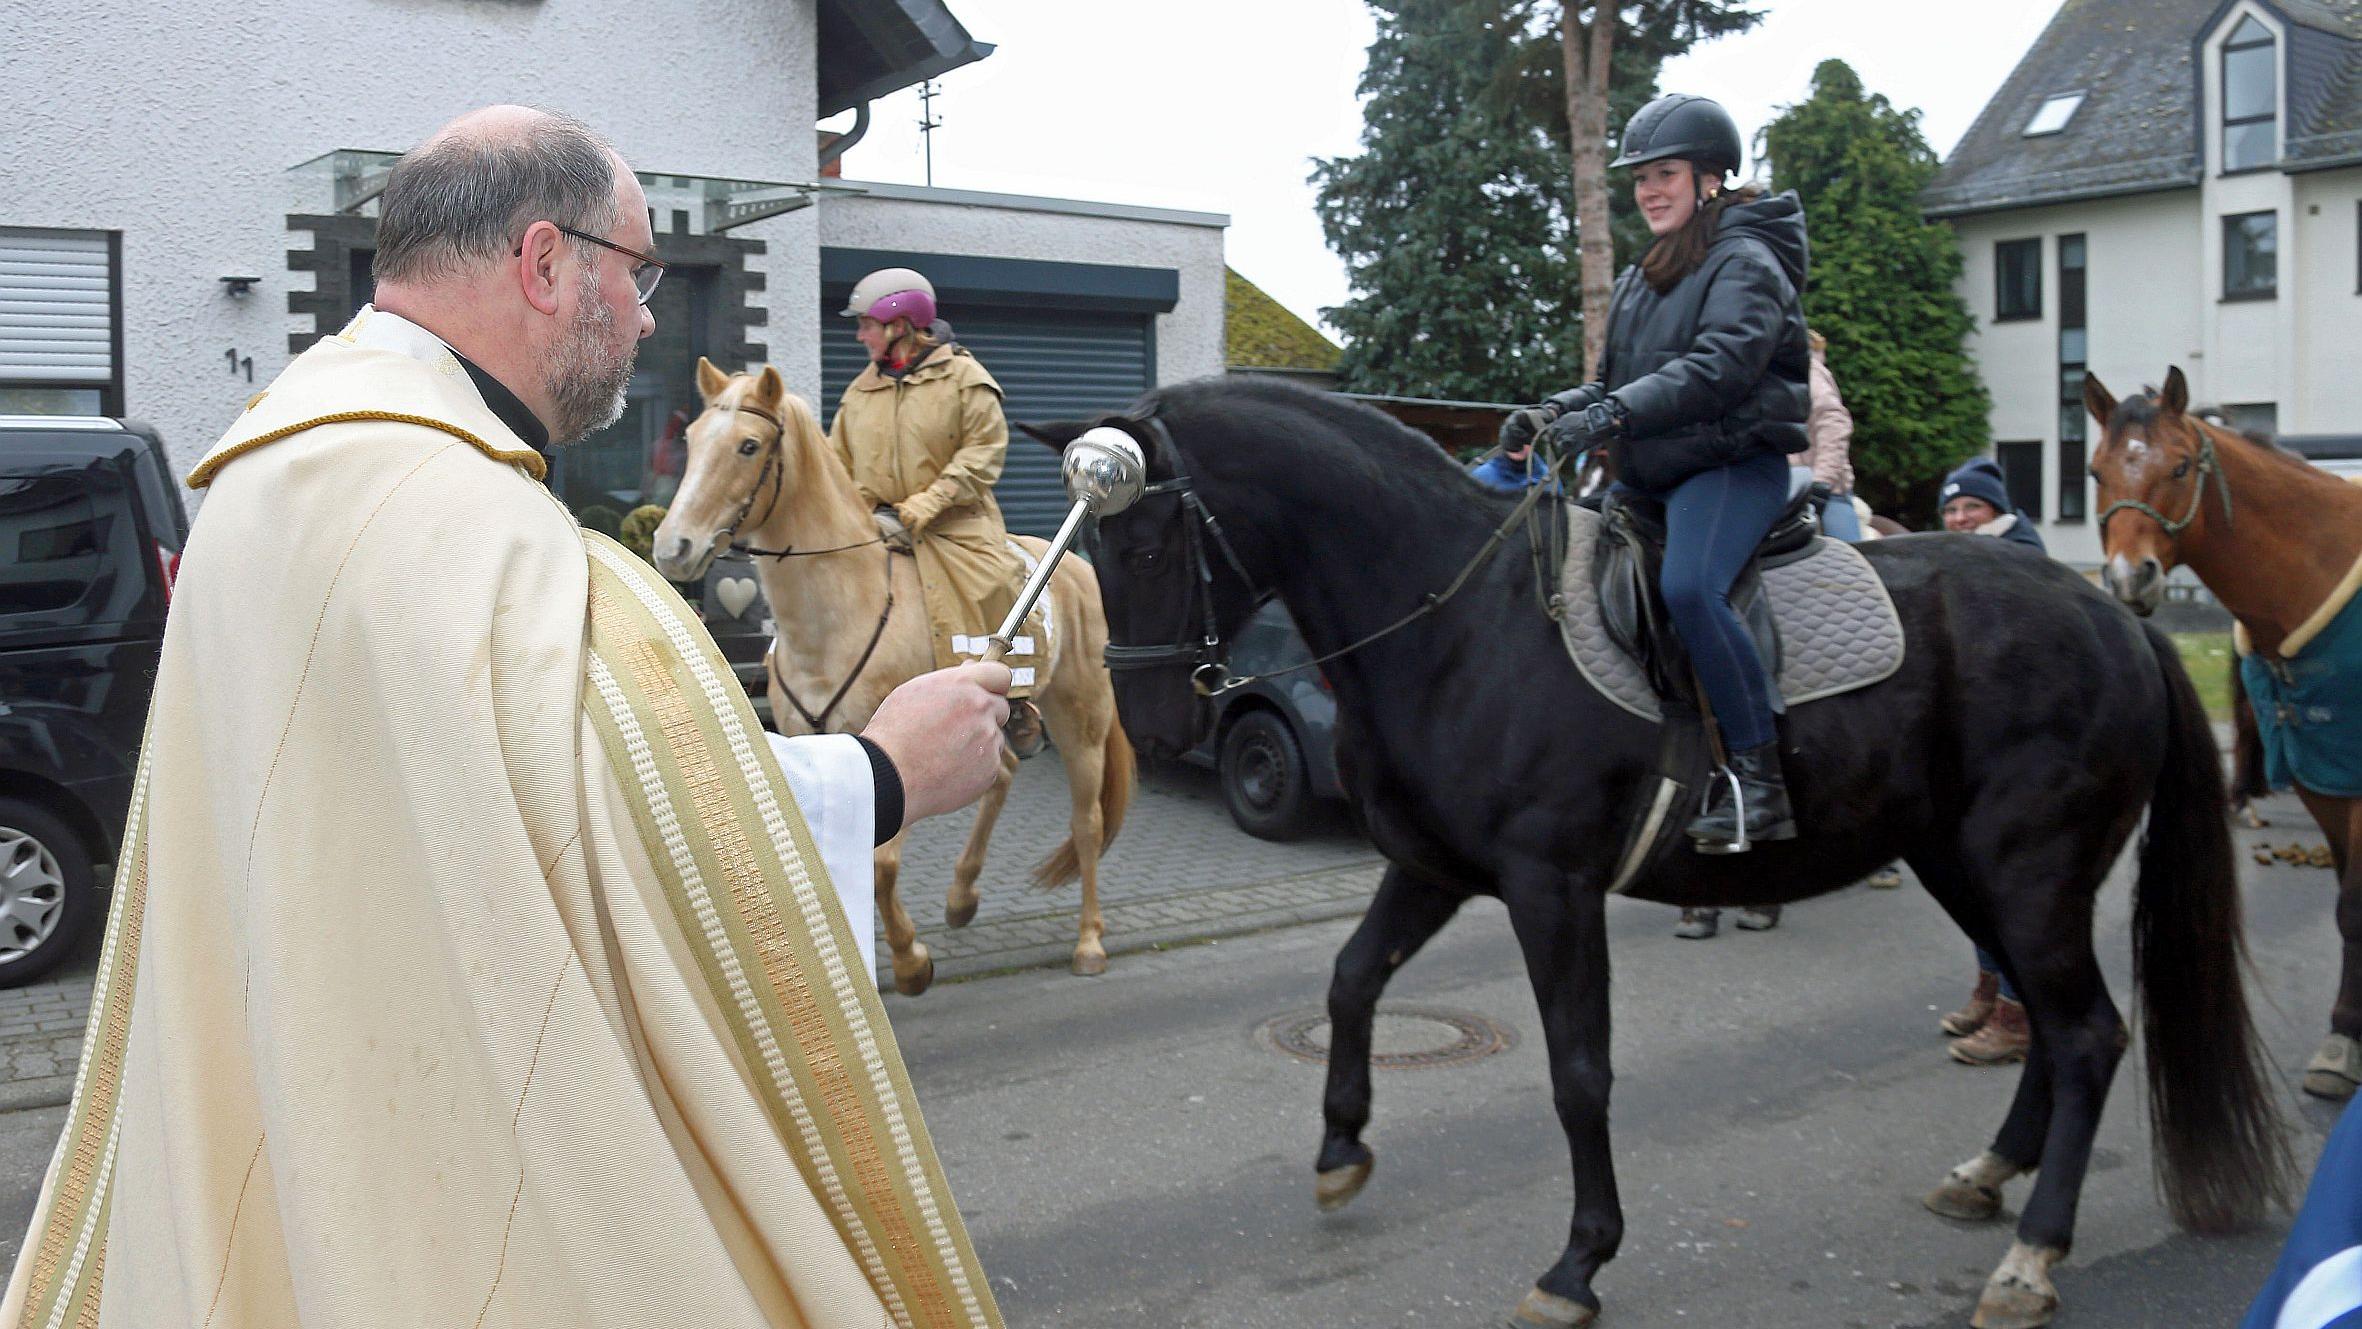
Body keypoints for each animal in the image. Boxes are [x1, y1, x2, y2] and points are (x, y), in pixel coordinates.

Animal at [642, 358, 1129, 991]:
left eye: (748, 446)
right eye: (693, 439)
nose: (672, 547)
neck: (841, 614)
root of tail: (1076, 569)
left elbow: (883, 865)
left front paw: (910, 962)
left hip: (1081, 717)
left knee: (1087, 824)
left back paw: (1089, 940)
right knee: (1002, 775)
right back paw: (962, 897)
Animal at [1034, 375, 2286, 1329]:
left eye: (1146, 534)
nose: (1151, 729)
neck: (1459, 620)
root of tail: (2114, 614)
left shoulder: (1551, 889)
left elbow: (1577, 1072)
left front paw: (1579, 1263)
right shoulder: (1435, 869)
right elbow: (1349, 981)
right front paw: (1342, 1147)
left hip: (2029, 873)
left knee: (2086, 1035)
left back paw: (2030, 1257)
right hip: (1967, 869)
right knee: (2050, 1027)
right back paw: (1985, 1180)